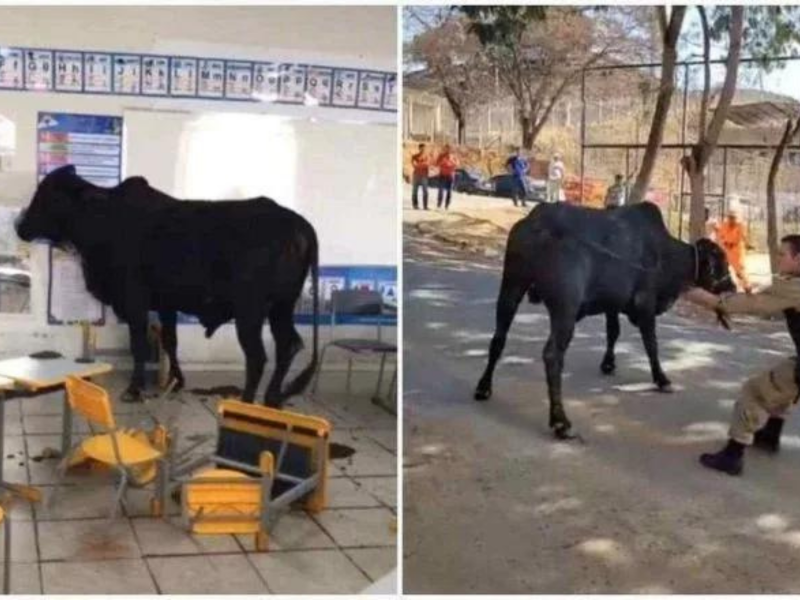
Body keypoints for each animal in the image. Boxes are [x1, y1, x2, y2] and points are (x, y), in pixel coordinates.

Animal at [13, 166, 318, 406]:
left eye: (49, 195)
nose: (19, 225)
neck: (104, 219)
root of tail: (297, 222)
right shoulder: (166, 304)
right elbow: (171, 341)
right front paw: (177, 380)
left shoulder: (134, 300)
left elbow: (138, 344)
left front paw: (134, 388)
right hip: (282, 307)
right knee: (288, 345)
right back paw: (273, 398)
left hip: (250, 311)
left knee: (257, 356)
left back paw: (246, 403)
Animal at [472, 200, 736, 436]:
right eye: (722, 262)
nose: (733, 286)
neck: (666, 254)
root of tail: (539, 221)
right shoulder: (645, 305)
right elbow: (651, 345)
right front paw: (662, 379)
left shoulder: (612, 304)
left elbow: (613, 333)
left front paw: (608, 363)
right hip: (564, 308)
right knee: (552, 355)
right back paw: (561, 422)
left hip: (511, 287)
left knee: (498, 339)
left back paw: (483, 388)